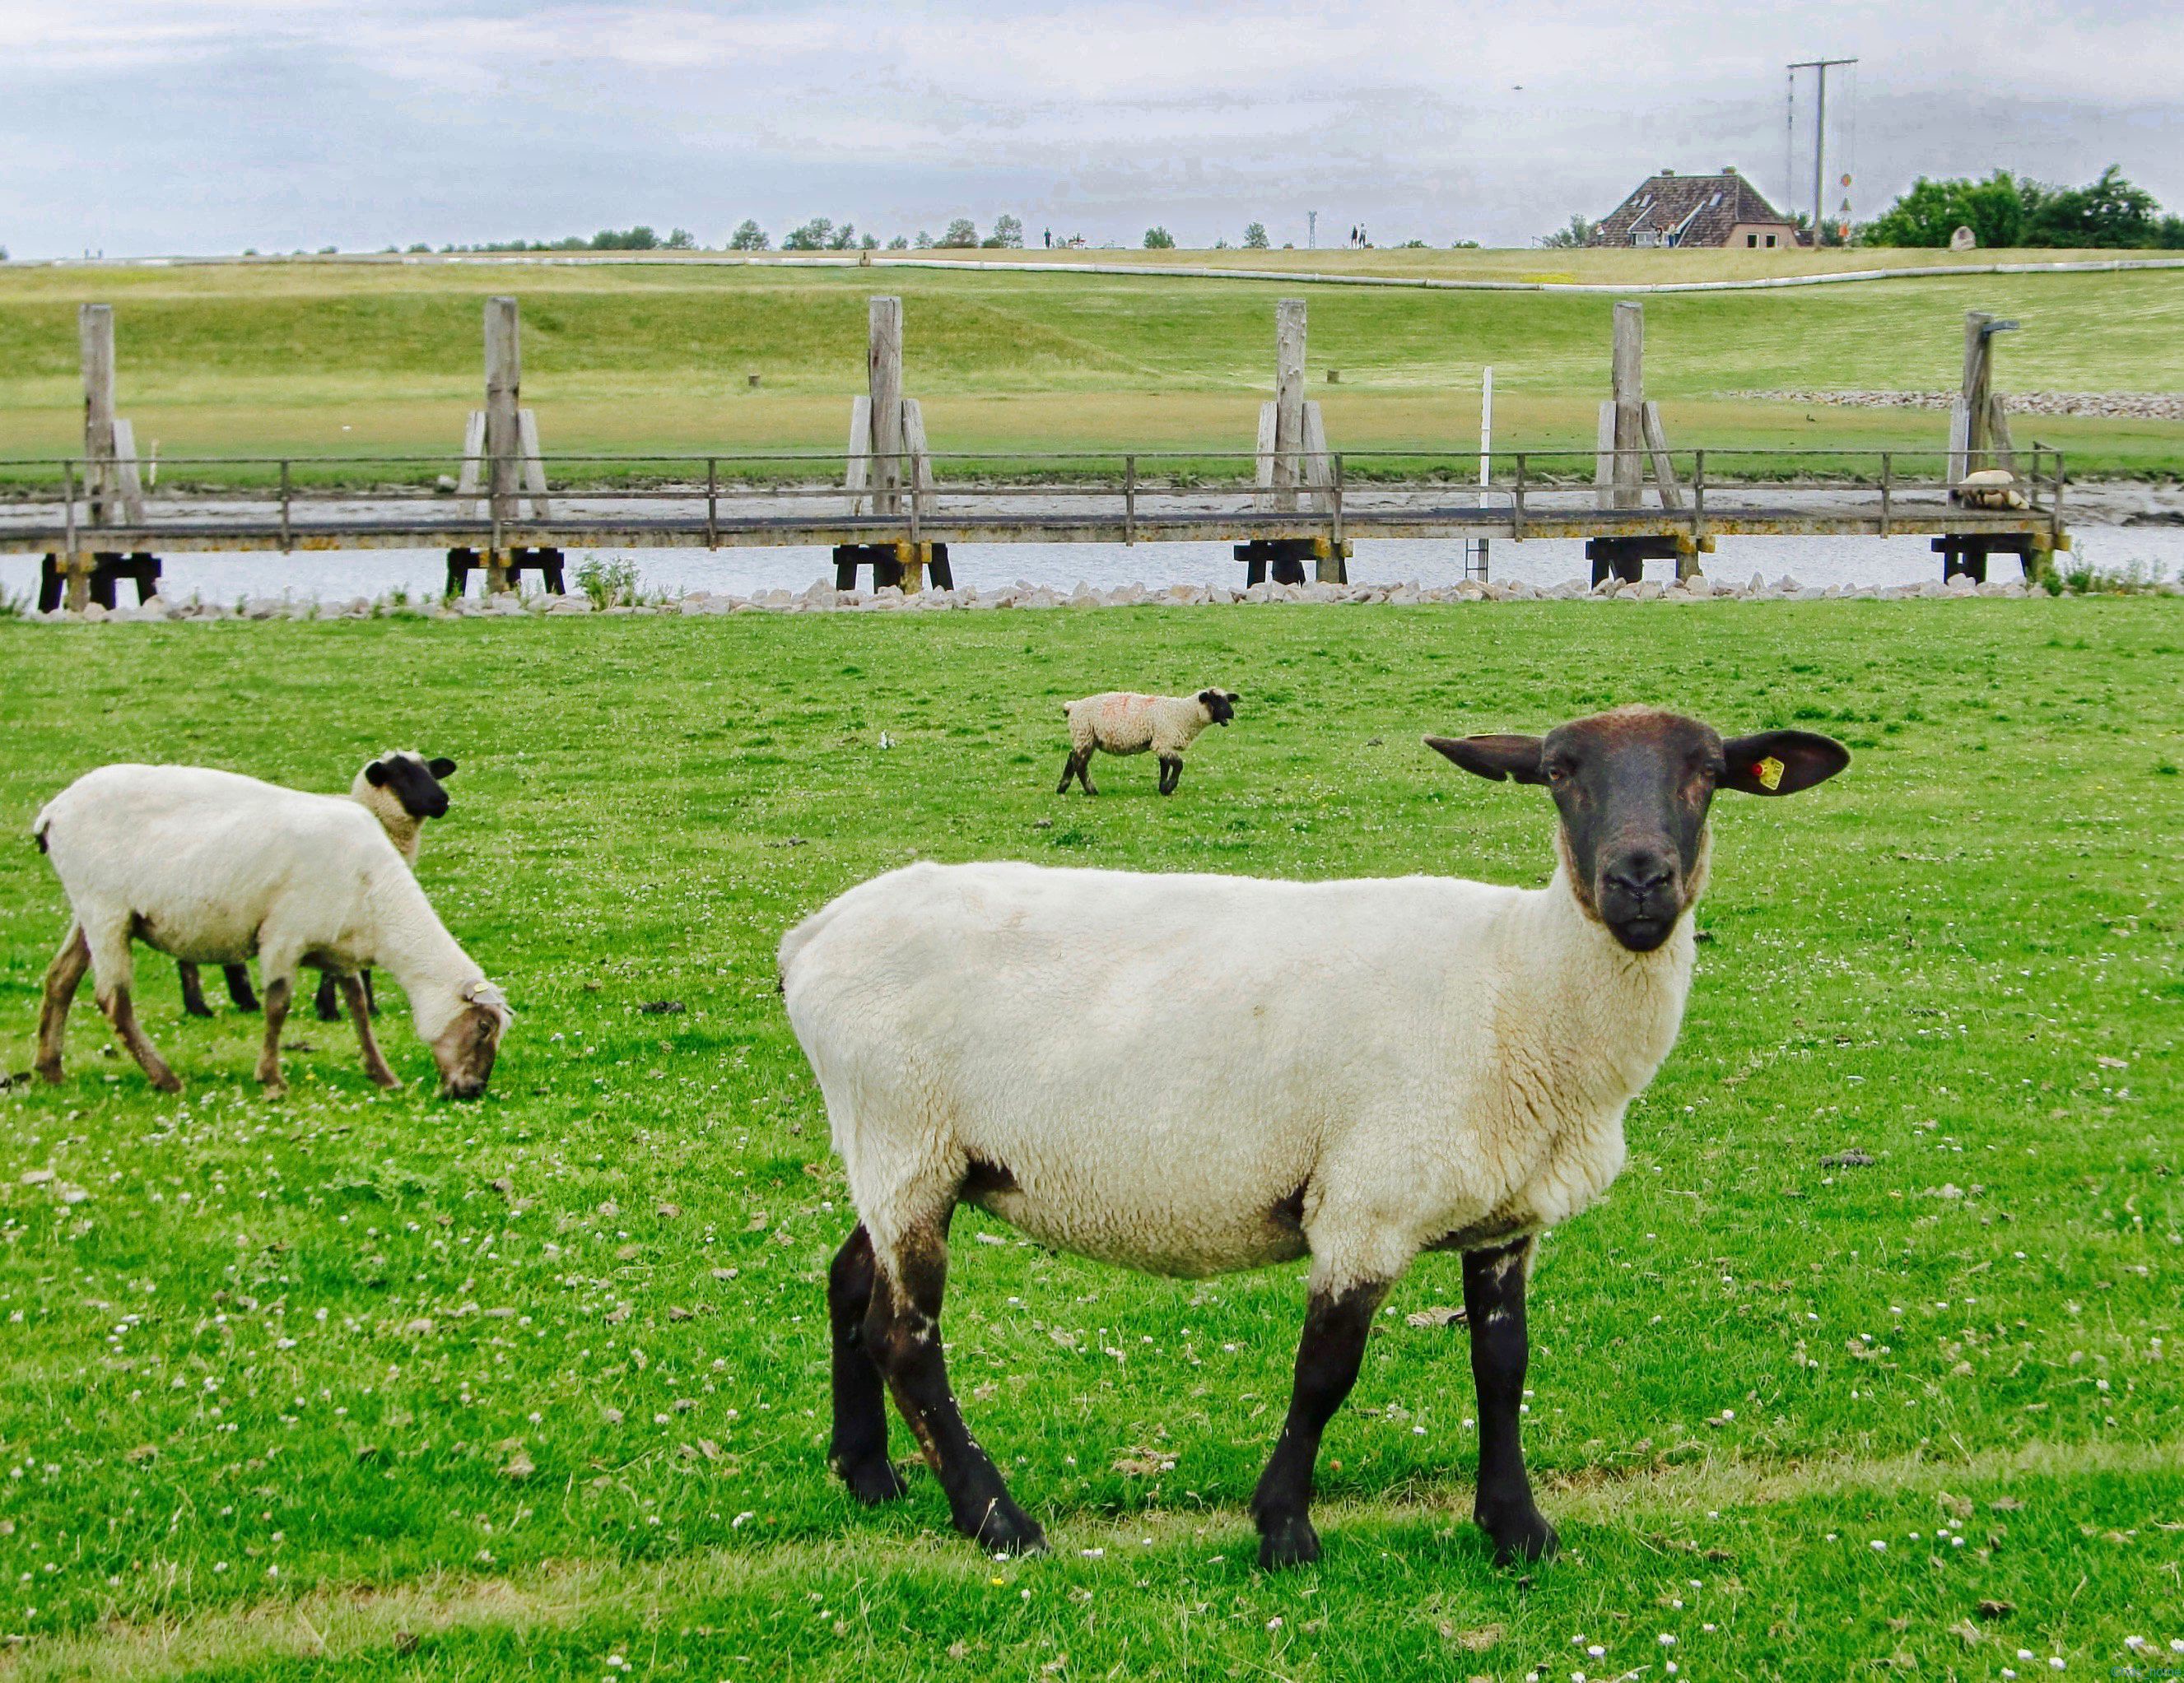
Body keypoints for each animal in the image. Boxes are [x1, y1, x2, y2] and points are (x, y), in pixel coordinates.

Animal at [175, 755, 460, 1021]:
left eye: (430, 770)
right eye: (401, 775)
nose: (442, 800)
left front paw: (368, 1008)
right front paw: (329, 1010)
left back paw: (240, 1003)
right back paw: (201, 1007)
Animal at [781, 707, 1843, 1563]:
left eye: (1707, 771)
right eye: (1558, 771)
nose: (1638, 879)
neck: (1521, 982)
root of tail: (811, 935)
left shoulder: (1505, 1217)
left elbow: (1502, 1366)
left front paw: (1517, 1527)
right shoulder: (1364, 1202)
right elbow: (1325, 1371)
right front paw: (1284, 1529)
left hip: (906, 1152)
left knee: (848, 1284)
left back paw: (868, 1474)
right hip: (904, 1136)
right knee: (903, 1335)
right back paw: (998, 1519)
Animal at [1061, 685, 1240, 794]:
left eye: (1227, 699)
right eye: (1215, 700)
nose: (1231, 714)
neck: (1183, 714)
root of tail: (1072, 707)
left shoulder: (1163, 742)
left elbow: (1165, 766)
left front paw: (1162, 788)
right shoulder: (1162, 742)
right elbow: (1178, 765)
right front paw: (1169, 787)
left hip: (1085, 738)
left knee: (1072, 758)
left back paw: (1062, 787)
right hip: (1084, 734)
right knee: (1079, 763)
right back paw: (1091, 790)